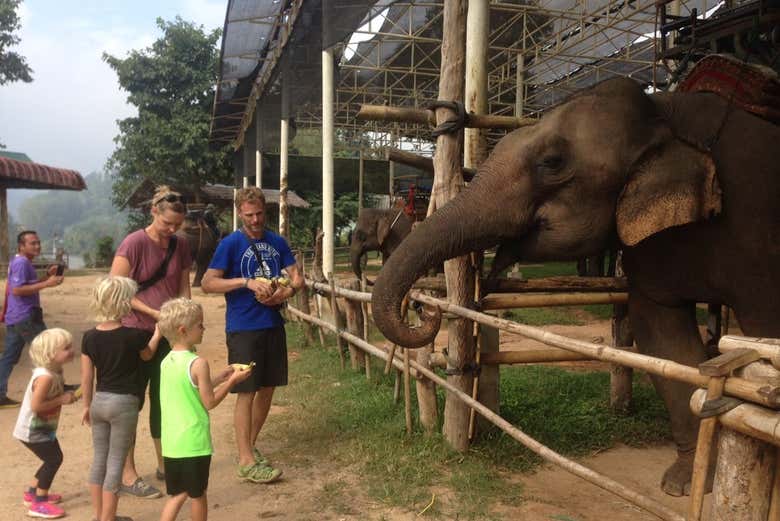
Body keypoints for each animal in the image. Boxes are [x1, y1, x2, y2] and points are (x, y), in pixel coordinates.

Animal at [372, 76, 780, 496]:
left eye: (552, 163)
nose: (425, 308)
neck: (665, 112)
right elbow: (662, 337)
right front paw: (683, 484)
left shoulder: (756, 221)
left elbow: (766, 331)